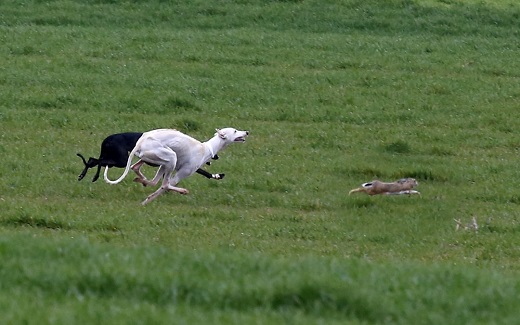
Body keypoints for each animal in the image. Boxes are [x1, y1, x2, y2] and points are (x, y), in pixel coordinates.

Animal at [104, 127, 249, 205]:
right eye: (235, 131)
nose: (247, 132)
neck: (207, 148)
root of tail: (140, 142)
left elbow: (156, 185)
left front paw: (145, 200)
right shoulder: (181, 173)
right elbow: (164, 187)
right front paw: (146, 201)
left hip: (162, 161)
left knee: (141, 172)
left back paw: (141, 180)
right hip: (171, 157)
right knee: (164, 184)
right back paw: (182, 191)